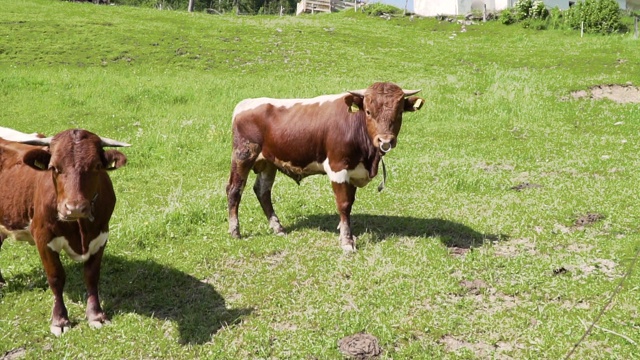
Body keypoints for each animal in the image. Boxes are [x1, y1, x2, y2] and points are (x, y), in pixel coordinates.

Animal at [0, 126, 130, 334]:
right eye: (54, 167)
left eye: (96, 166)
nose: (74, 208)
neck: (81, 231)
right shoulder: (43, 239)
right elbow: (56, 278)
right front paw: (60, 320)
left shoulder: (101, 237)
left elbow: (92, 276)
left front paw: (96, 315)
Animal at [226, 82, 424, 250]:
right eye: (368, 111)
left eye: (399, 112)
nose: (385, 141)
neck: (369, 157)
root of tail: (246, 103)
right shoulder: (338, 168)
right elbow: (344, 204)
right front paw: (347, 242)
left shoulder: (353, 171)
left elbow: (350, 202)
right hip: (243, 154)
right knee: (234, 189)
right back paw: (235, 231)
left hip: (269, 162)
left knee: (262, 190)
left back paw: (278, 227)